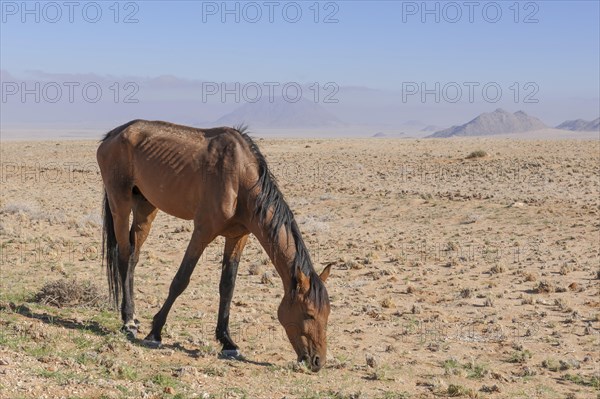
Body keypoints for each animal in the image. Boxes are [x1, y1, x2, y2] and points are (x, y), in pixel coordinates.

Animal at [97, 119, 332, 372]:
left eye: (327, 314)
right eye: (309, 314)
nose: (317, 361)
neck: (239, 178)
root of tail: (113, 134)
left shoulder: (238, 236)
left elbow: (227, 286)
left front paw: (227, 341)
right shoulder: (203, 231)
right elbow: (181, 280)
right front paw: (156, 332)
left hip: (146, 207)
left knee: (133, 257)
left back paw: (133, 316)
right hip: (120, 204)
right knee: (123, 255)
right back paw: (128, 321)